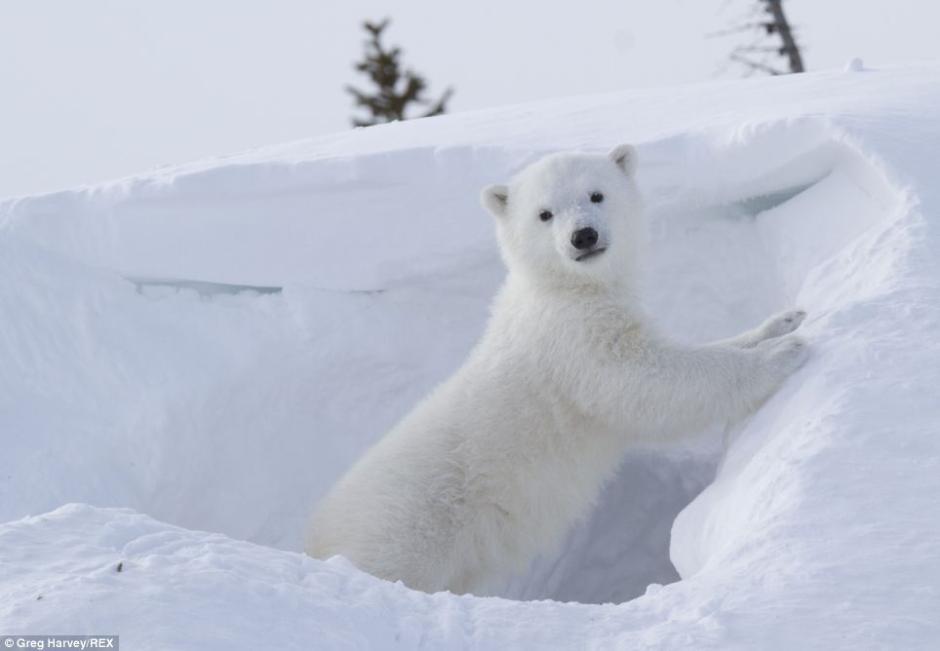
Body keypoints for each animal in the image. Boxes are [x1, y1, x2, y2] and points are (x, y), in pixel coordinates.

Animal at [306, 146, 808, 596]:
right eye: (544, 214)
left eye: (596, 194)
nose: (582, 236)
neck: (562, 290)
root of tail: (316, 537)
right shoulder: (571, 343)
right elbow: (644, 382)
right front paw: (783, 352)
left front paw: (781, 322)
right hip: (405, 529)